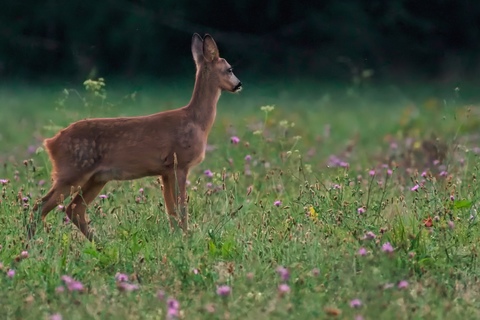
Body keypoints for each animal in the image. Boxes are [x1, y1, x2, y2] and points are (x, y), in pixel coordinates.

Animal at [28, 33, 242, 241]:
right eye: (230, 69)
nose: (239, 84)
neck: (197, 122)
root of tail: (51, 143)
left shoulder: (164, 171)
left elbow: (171, 211)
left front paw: (177, 239)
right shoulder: (179, 163)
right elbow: (182, 209)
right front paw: (187, 238)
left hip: (96, 178)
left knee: (73, 209)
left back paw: (101, 244)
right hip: (72, 171)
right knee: (40, 206)